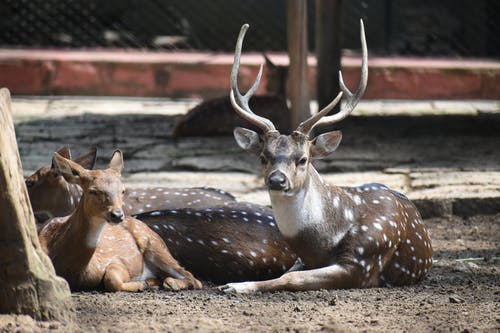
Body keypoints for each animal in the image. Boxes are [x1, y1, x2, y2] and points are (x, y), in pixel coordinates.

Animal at [38, 150, 201, 290]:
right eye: (92, 190)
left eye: (122, 190)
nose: (117, 215)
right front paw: (143, 284)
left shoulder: (116, 261)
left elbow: (111, 279)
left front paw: (140, 284)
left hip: (156, 246)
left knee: (193, 278)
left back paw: (170, 283)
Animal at [220, 20, 434, 292]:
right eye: (263, 157)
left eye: (303, 159)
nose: (277, 180)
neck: (320, 244)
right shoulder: (304, 259)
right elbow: (286, 271)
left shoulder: (362, 263)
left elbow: (290, 278)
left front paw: (236, 286)